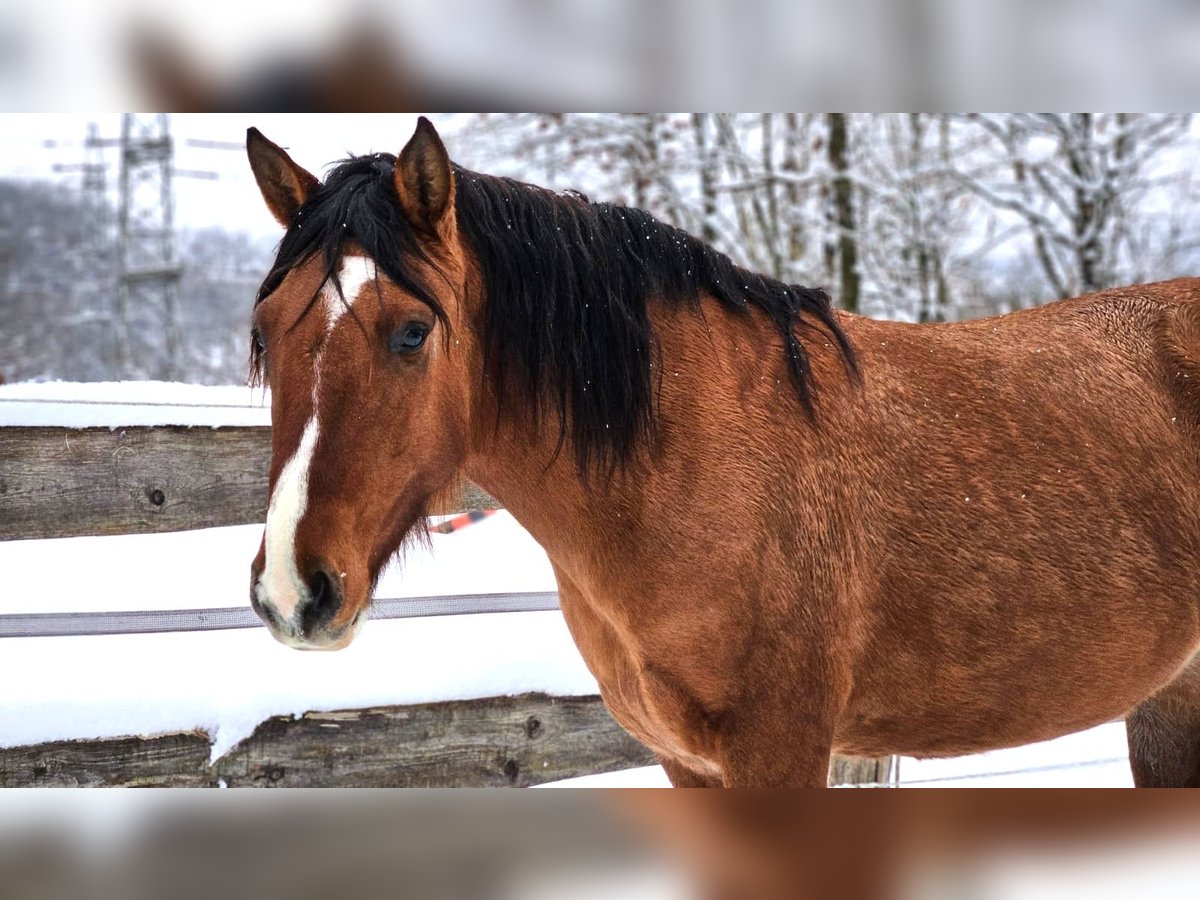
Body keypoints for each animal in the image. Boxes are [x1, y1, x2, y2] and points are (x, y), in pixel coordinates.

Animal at [245, 117, 1200, 787]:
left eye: (412, 332)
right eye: (264, 329)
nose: (293, 591)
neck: (687, 468)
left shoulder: (781, 752)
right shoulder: (687, 762)